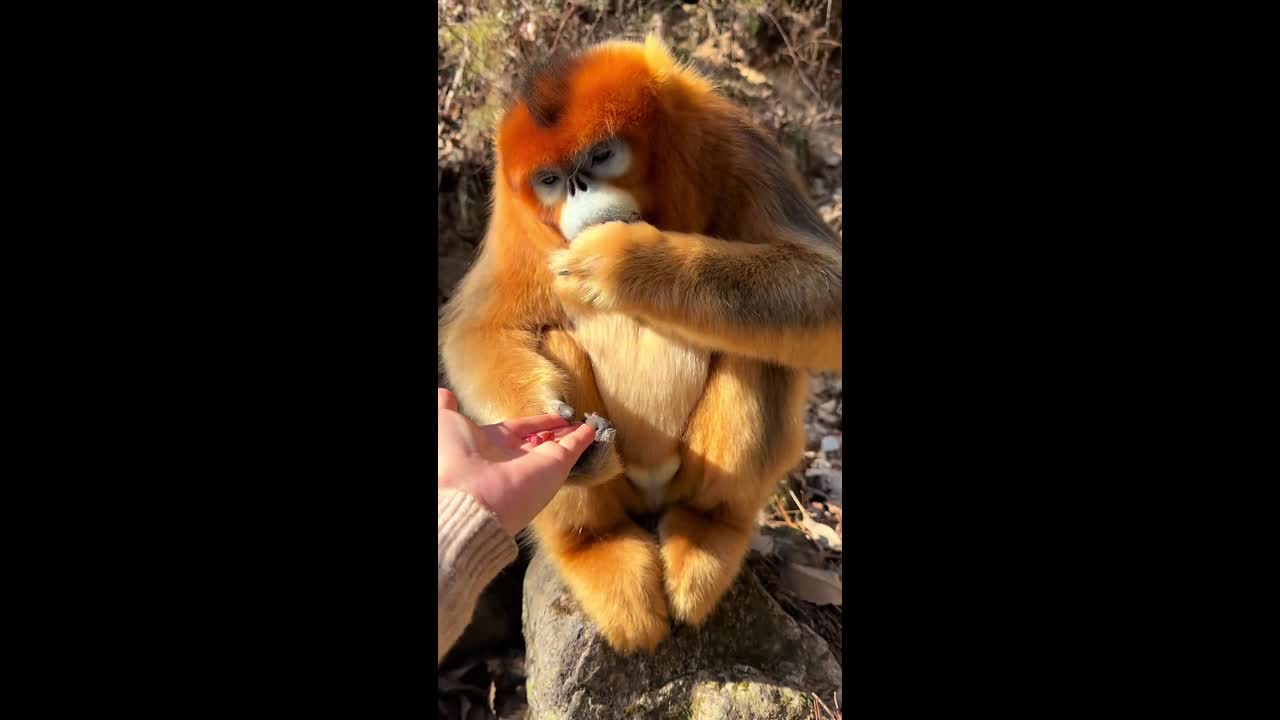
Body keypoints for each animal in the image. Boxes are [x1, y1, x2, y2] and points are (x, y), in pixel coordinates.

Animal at [439, 35, 841, 654]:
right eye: (550, 179)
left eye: (602, 155)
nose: (578, 188)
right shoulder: (514, 216)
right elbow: (480, 331)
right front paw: (546, 423)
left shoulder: (735, 146)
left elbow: (828, 289)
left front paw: (624, 261)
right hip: (621, 484)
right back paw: (595, 544)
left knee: (758, 352)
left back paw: (709, 528)